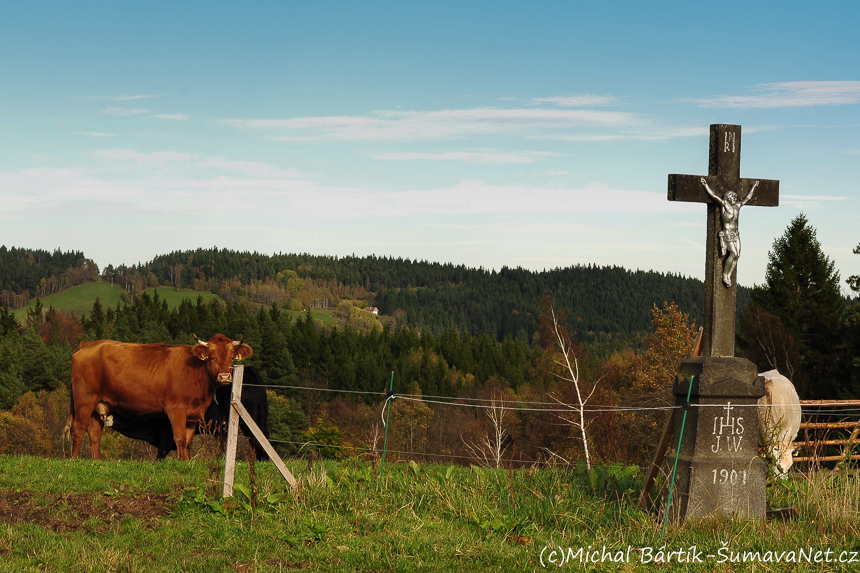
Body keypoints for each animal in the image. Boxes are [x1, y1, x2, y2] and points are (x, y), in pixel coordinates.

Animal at [67, 332, 252, 458]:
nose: (225, 377)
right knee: (78, 429)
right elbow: (179, 438)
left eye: (232, 358)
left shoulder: (193, 415)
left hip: (98, 404)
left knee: (94, 434)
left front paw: (187, 461)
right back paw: (74, 459)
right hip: (84, 400)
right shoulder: (176, 409)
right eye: (212, 357)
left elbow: (188, 441)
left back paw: (97, 460)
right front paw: (181, 461)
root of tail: (88, 343)